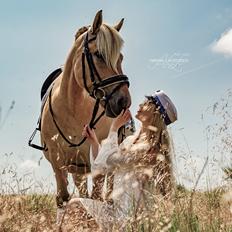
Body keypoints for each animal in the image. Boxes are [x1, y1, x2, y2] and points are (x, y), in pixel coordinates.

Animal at [39, 10, 131, 207]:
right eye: (99, 55)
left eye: (120, 58)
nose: (124, 101)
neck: (72, 109)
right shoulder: (59, 163)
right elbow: (64, 197)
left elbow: (96, 196)